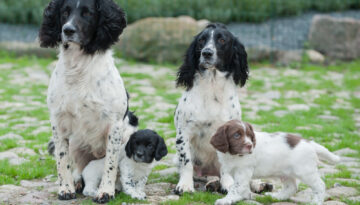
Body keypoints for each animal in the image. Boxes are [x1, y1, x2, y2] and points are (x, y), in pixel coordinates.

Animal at [38, 0, 126, 202]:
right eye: (64, 12)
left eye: (87, 13)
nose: (68, 30)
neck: (79, 67)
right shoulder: (58, 121)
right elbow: (62, 160)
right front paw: (65, 189)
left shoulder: (115, 124)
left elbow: (110, 163)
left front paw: (106, 191)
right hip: (77, 143)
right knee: (77, 167)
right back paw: (77, 182)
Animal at [175, 23, 250, 193]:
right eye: (201, 40)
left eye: (222, 40)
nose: (207, 53)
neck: (212, 86)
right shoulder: (184, 132)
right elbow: (186, 162)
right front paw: (185, 185)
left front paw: (228, 184)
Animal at [211, 119, 340, 204]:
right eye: (236, 135)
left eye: (250, 135)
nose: (250, 145)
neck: (232, 155)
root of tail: (310, 143)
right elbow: (239, 188)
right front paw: (238, 198)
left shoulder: (243, 171)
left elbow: (235, 188)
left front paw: (226, 200)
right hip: (286, 172)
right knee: (291, 187)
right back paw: (277, 197)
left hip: (305, 172)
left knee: (319, 185)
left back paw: (316, 202)